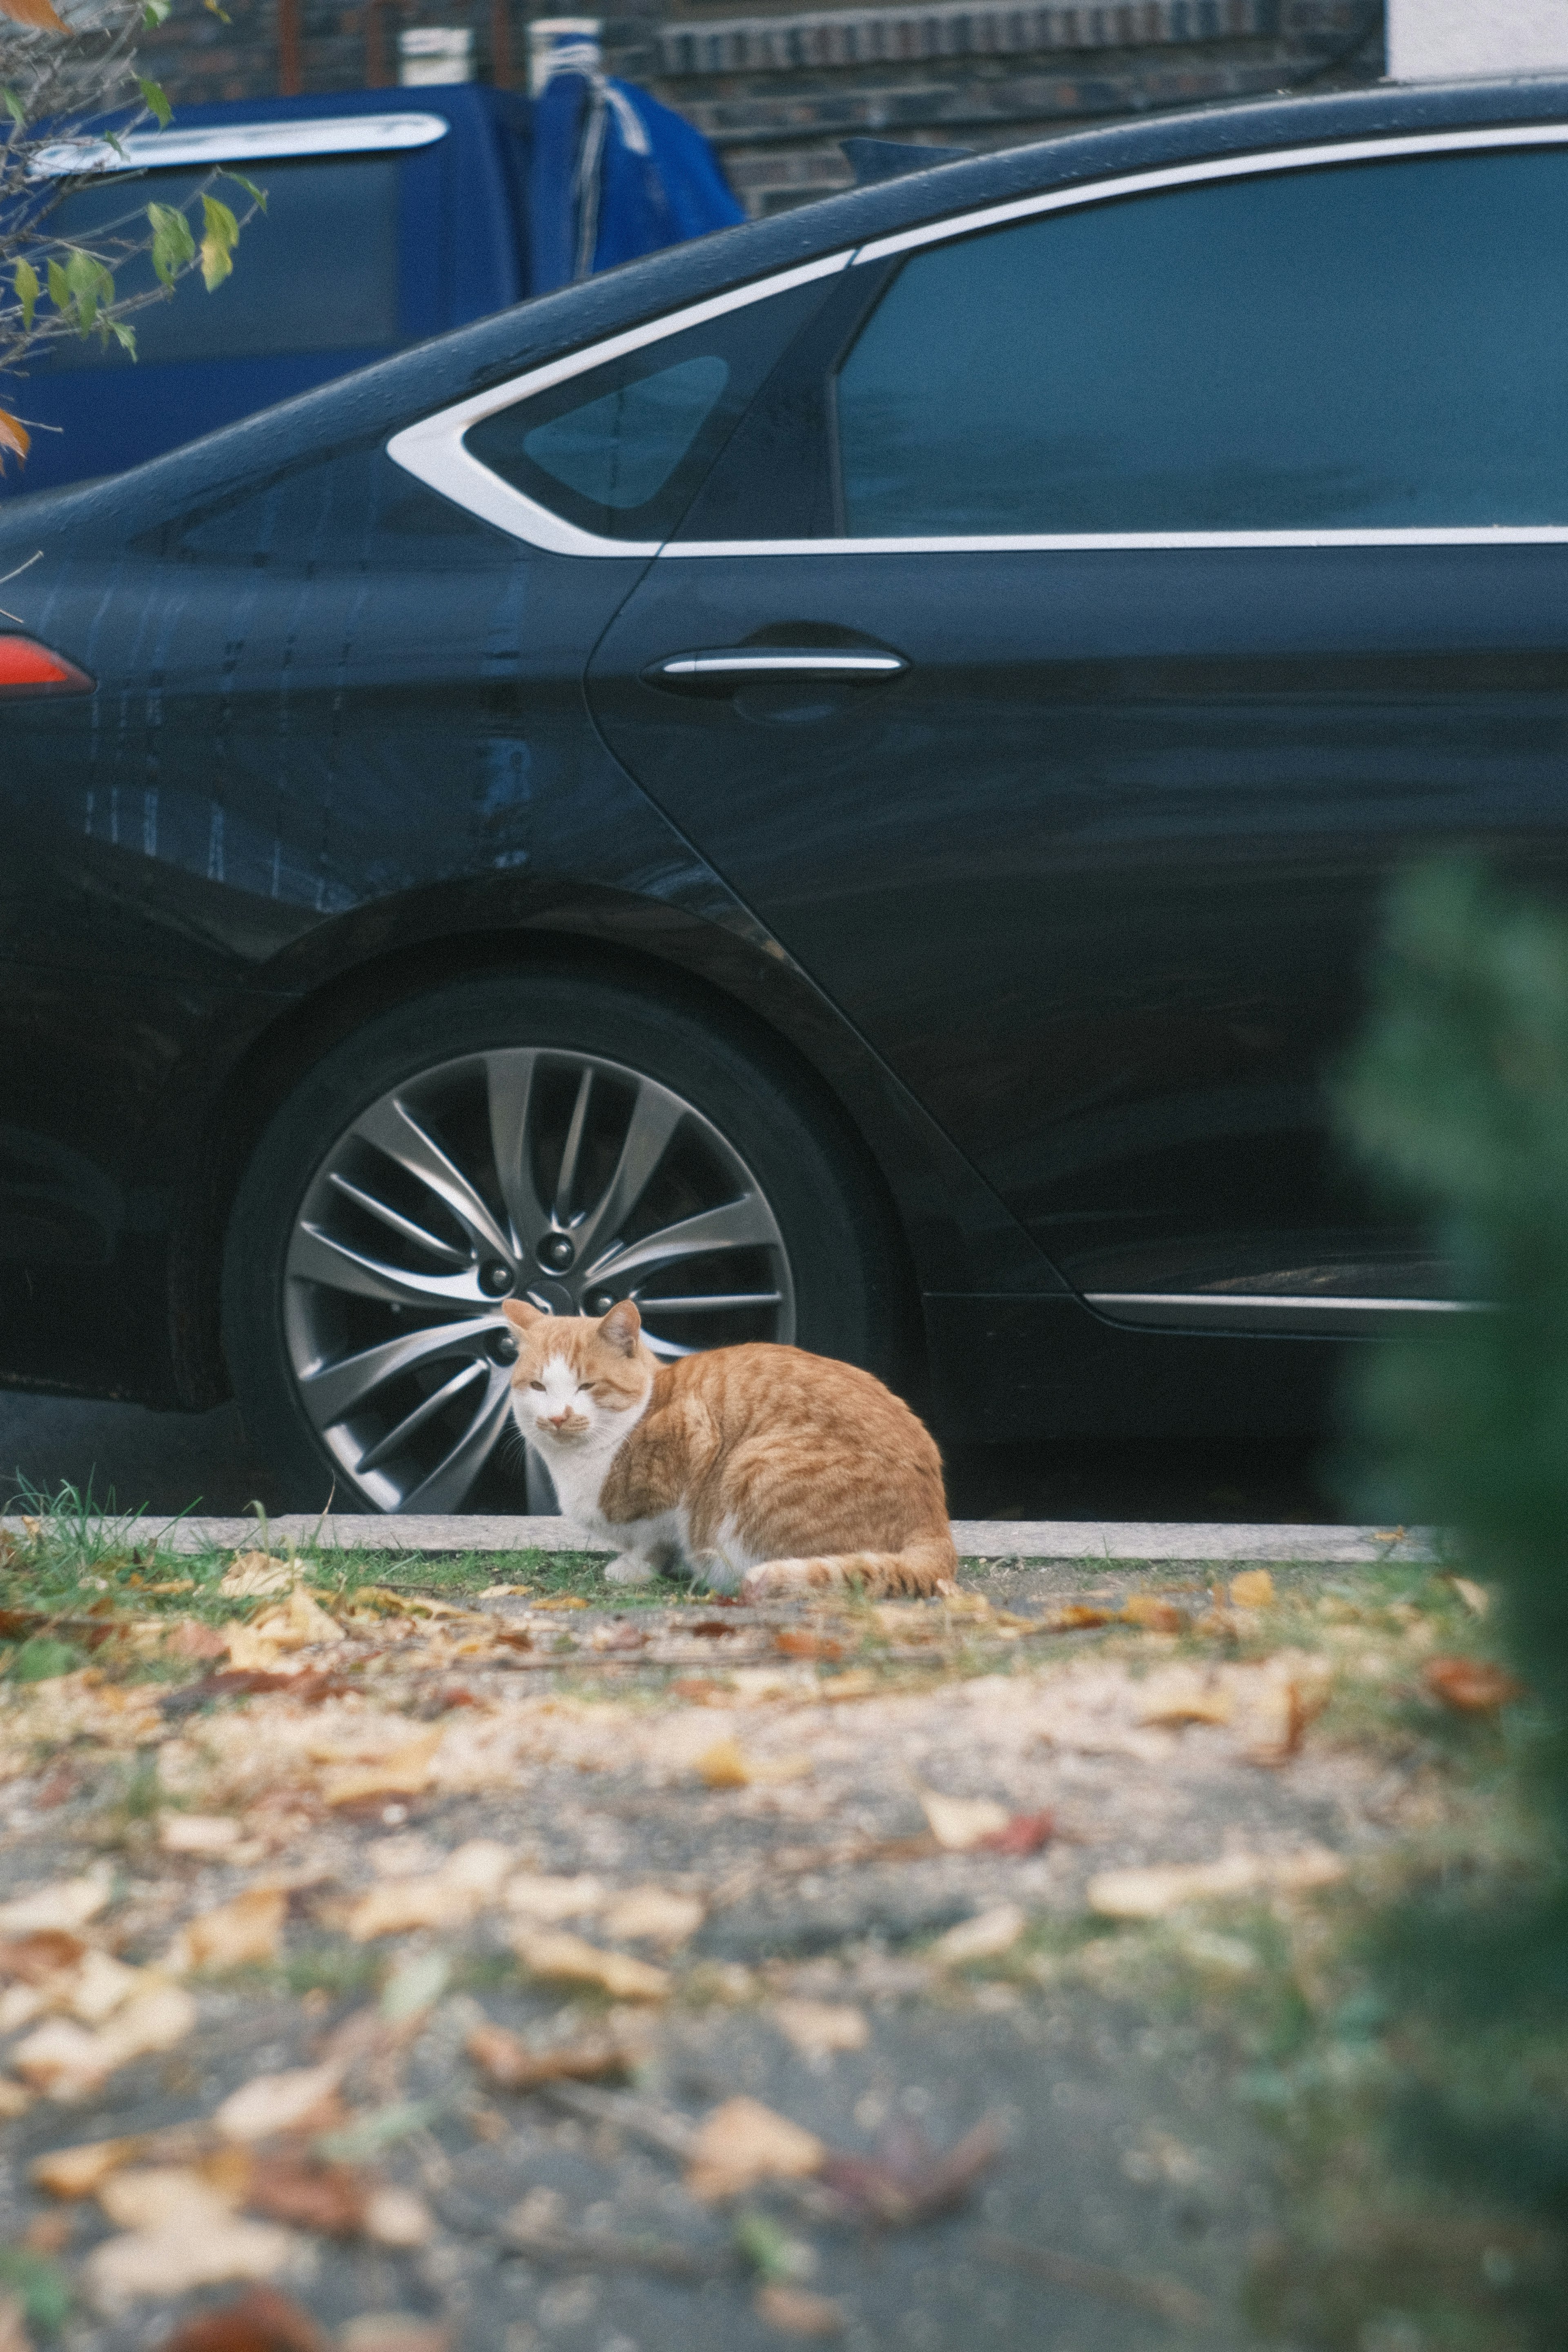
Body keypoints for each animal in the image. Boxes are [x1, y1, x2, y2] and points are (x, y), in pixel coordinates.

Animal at [503, 1298, 959, 1608]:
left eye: (587, 1386)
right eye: (538, 1386)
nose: (559, 1417)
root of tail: (936, 1523)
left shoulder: (694, 1441)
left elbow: (655, 1539)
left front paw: (635, 1569)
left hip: (750, 1463)